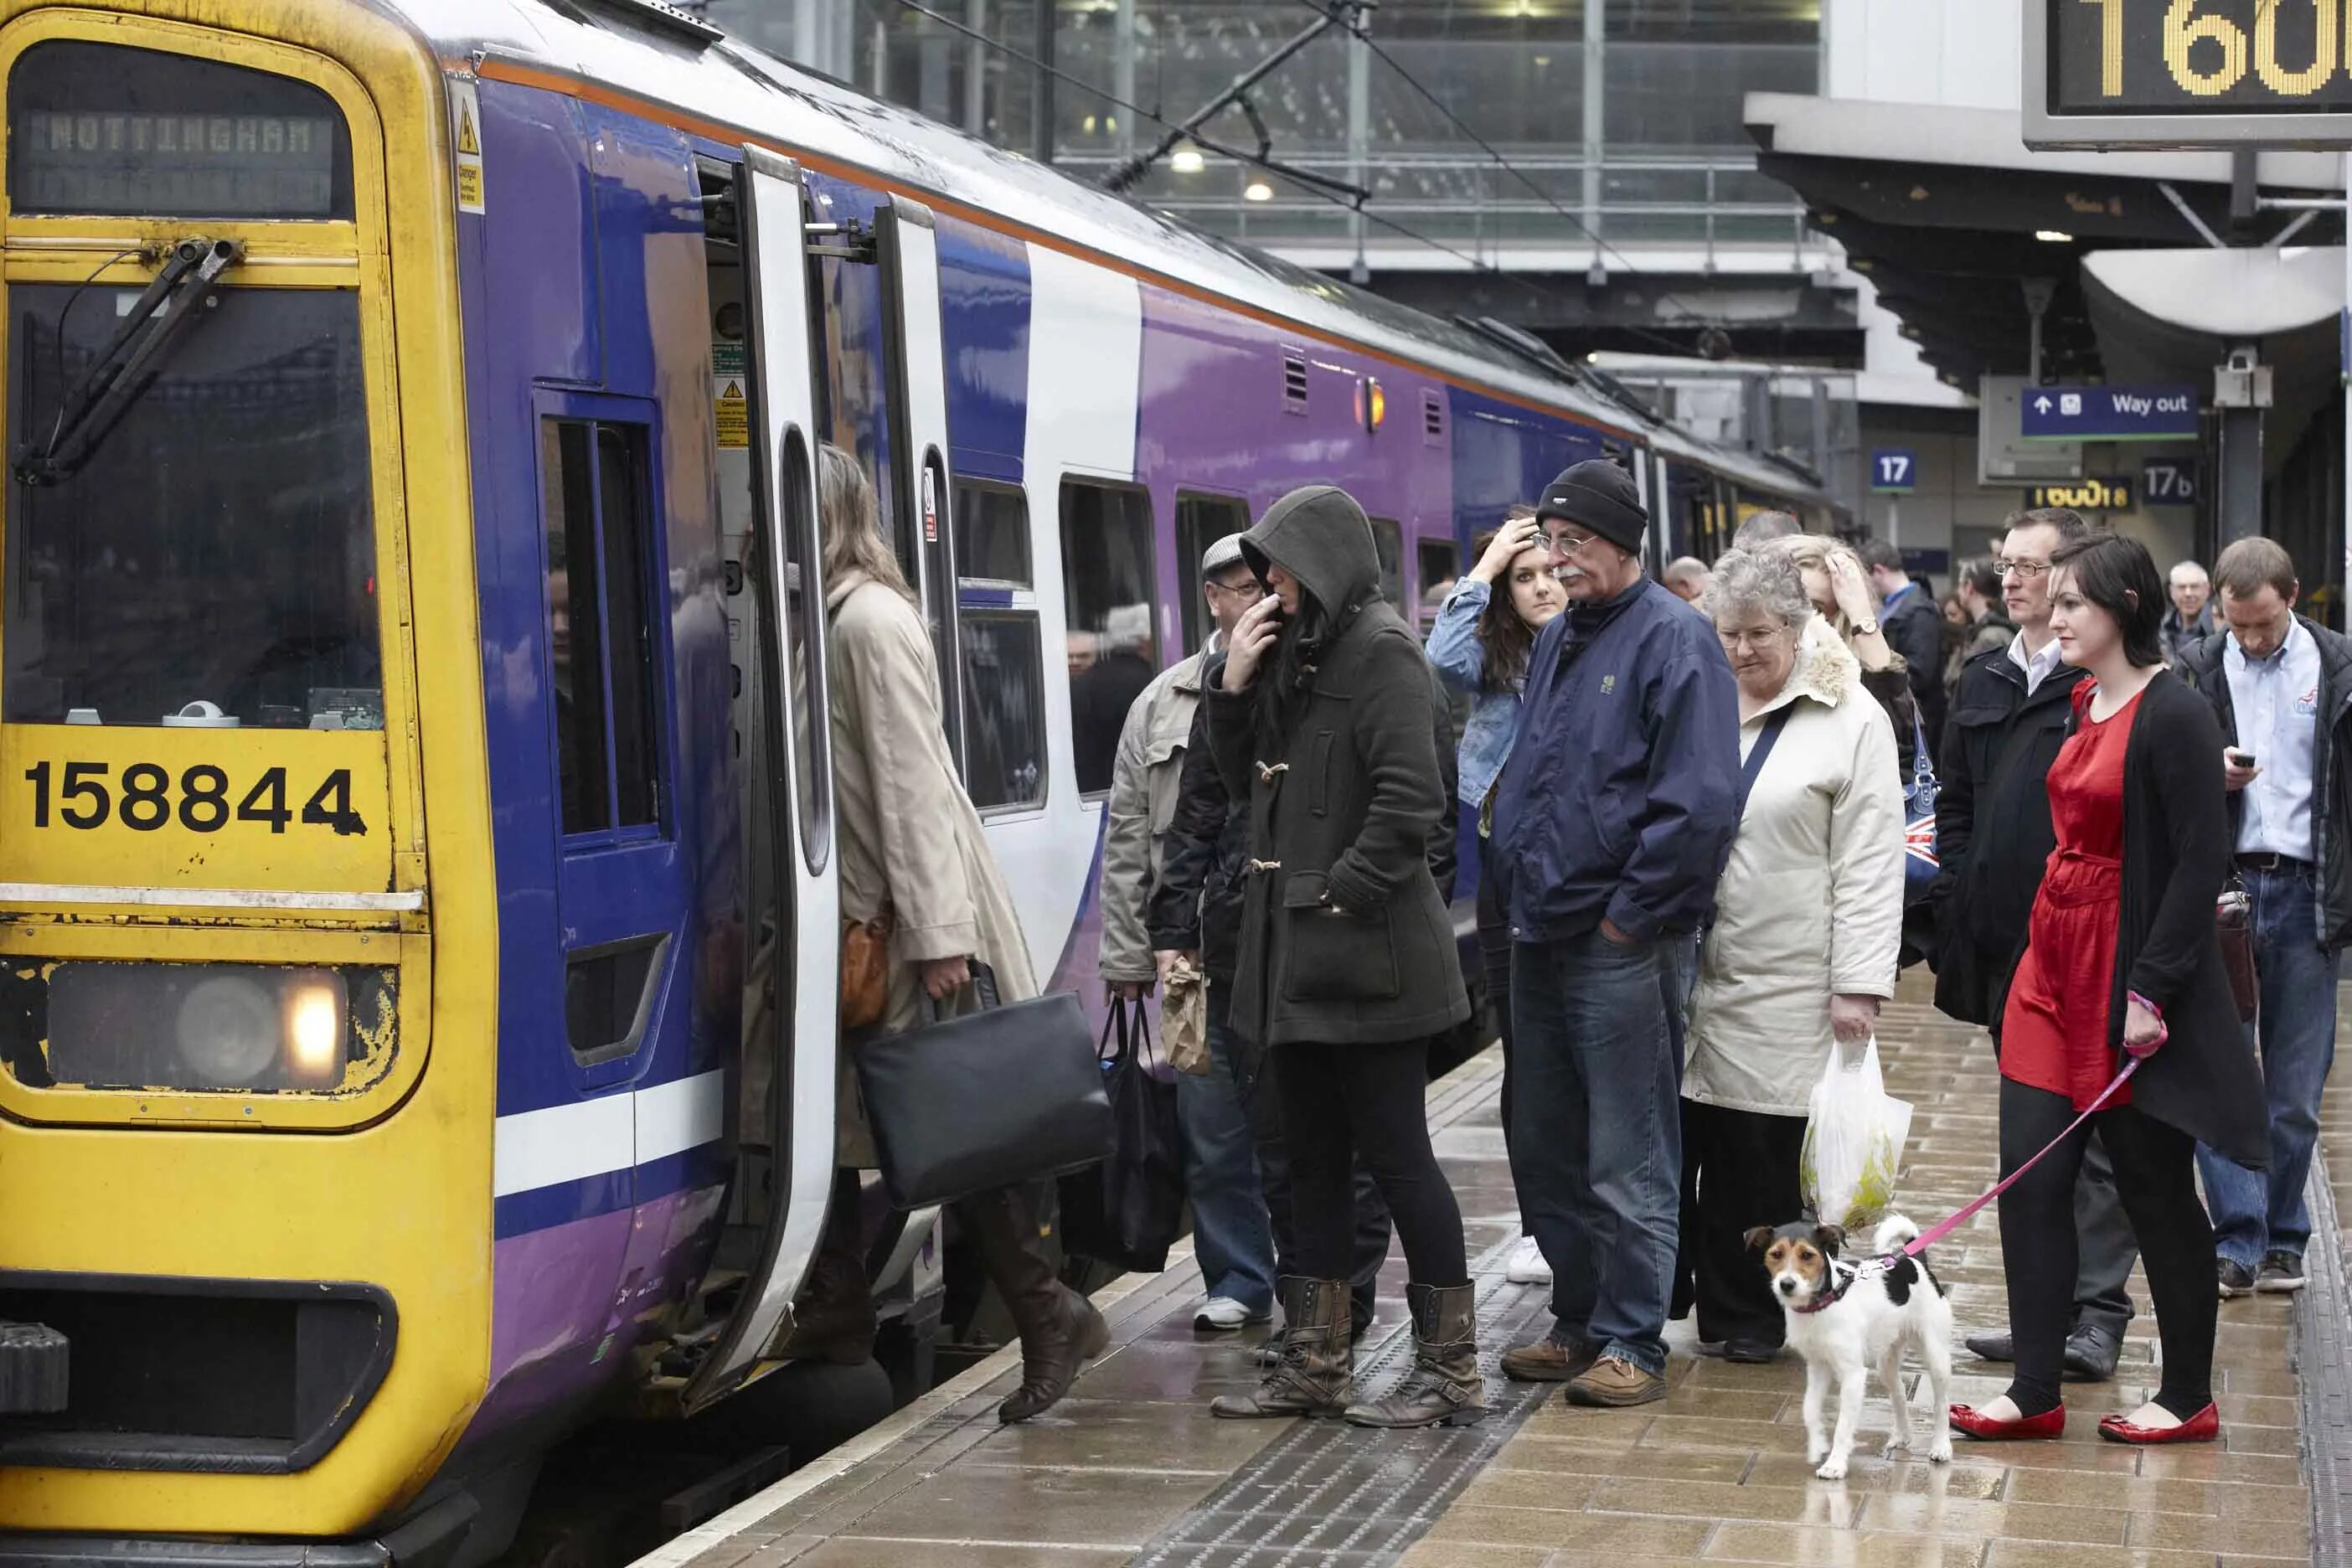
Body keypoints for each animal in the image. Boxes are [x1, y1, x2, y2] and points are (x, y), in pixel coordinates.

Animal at [1740, 1213, 1957, 1485]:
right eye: (1776, 1254)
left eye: (1807, 1255)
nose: (1786, 1284)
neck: (1824, 1303)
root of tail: (1915, 1260)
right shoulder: (1818, 1366)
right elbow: (1809, 1409)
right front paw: (1818, 1444)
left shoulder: (1853, 1375)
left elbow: (1843, 1426)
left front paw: (1834, 1465)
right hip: (1886, 1361)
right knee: (1899, 1392)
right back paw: (1902, 1436)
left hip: (1935, 1354)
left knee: (1942, 1403)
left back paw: (1941, 1447)